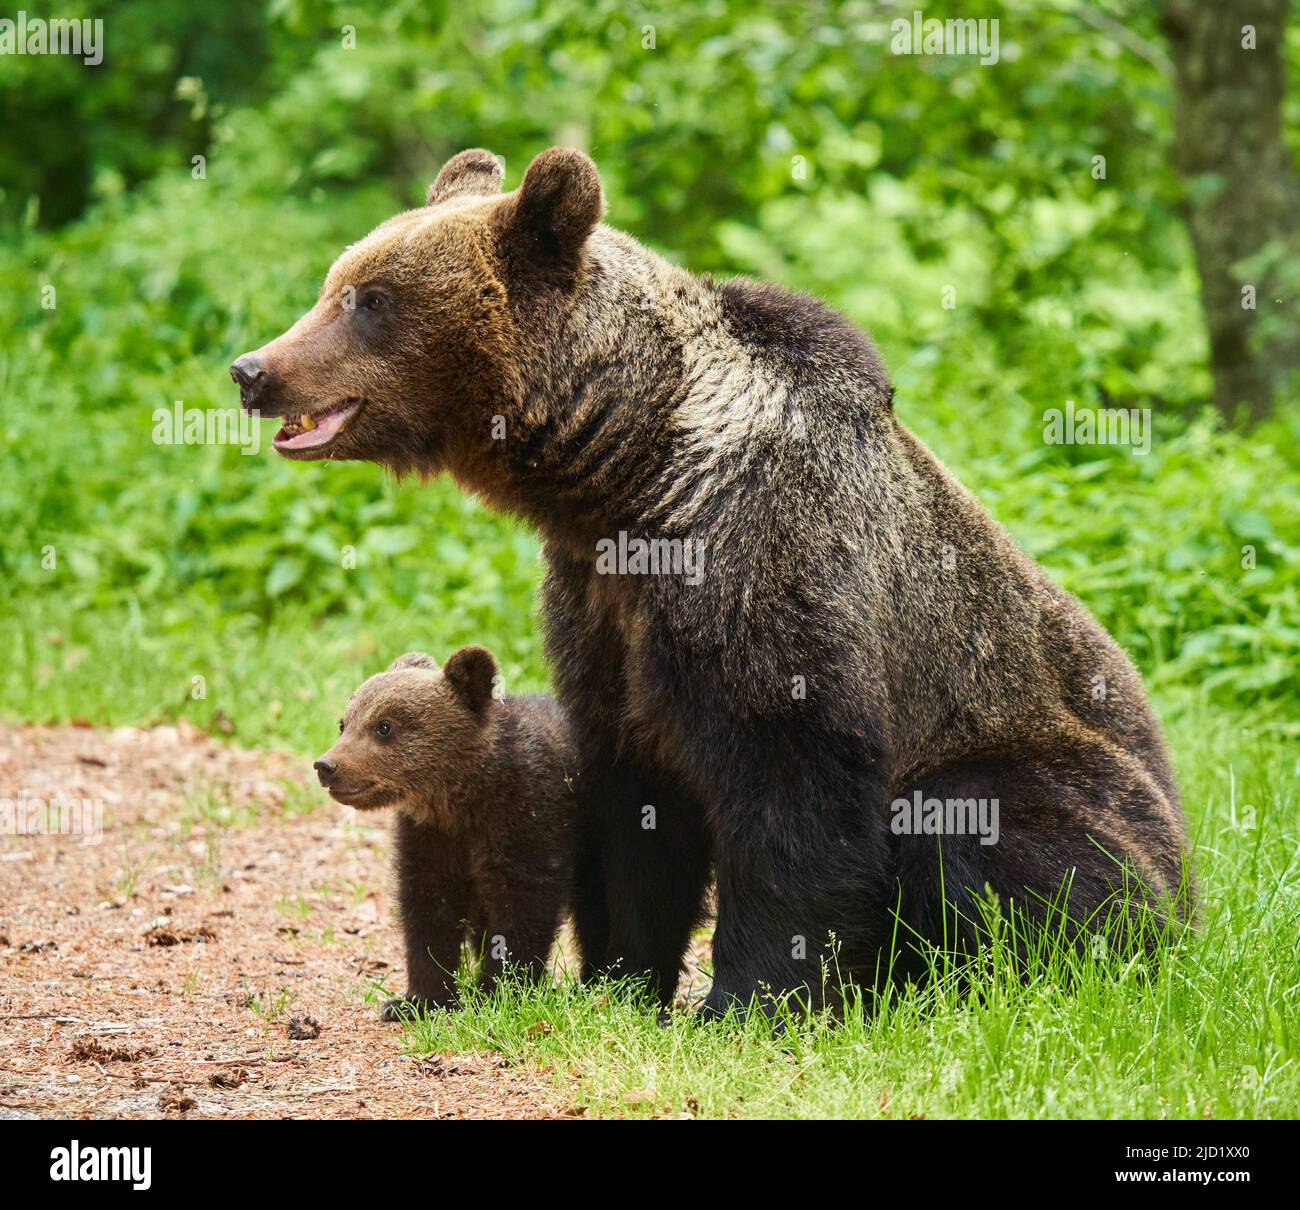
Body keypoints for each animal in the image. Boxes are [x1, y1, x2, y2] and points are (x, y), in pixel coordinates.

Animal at [314, 645, 578, 1019]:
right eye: (344, 723)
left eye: (384, 726)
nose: (326, 766)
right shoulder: (430, 836)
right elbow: (428, 907)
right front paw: (419, 1000)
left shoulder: (529, 815)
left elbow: (523, 905)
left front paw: (498, 993)